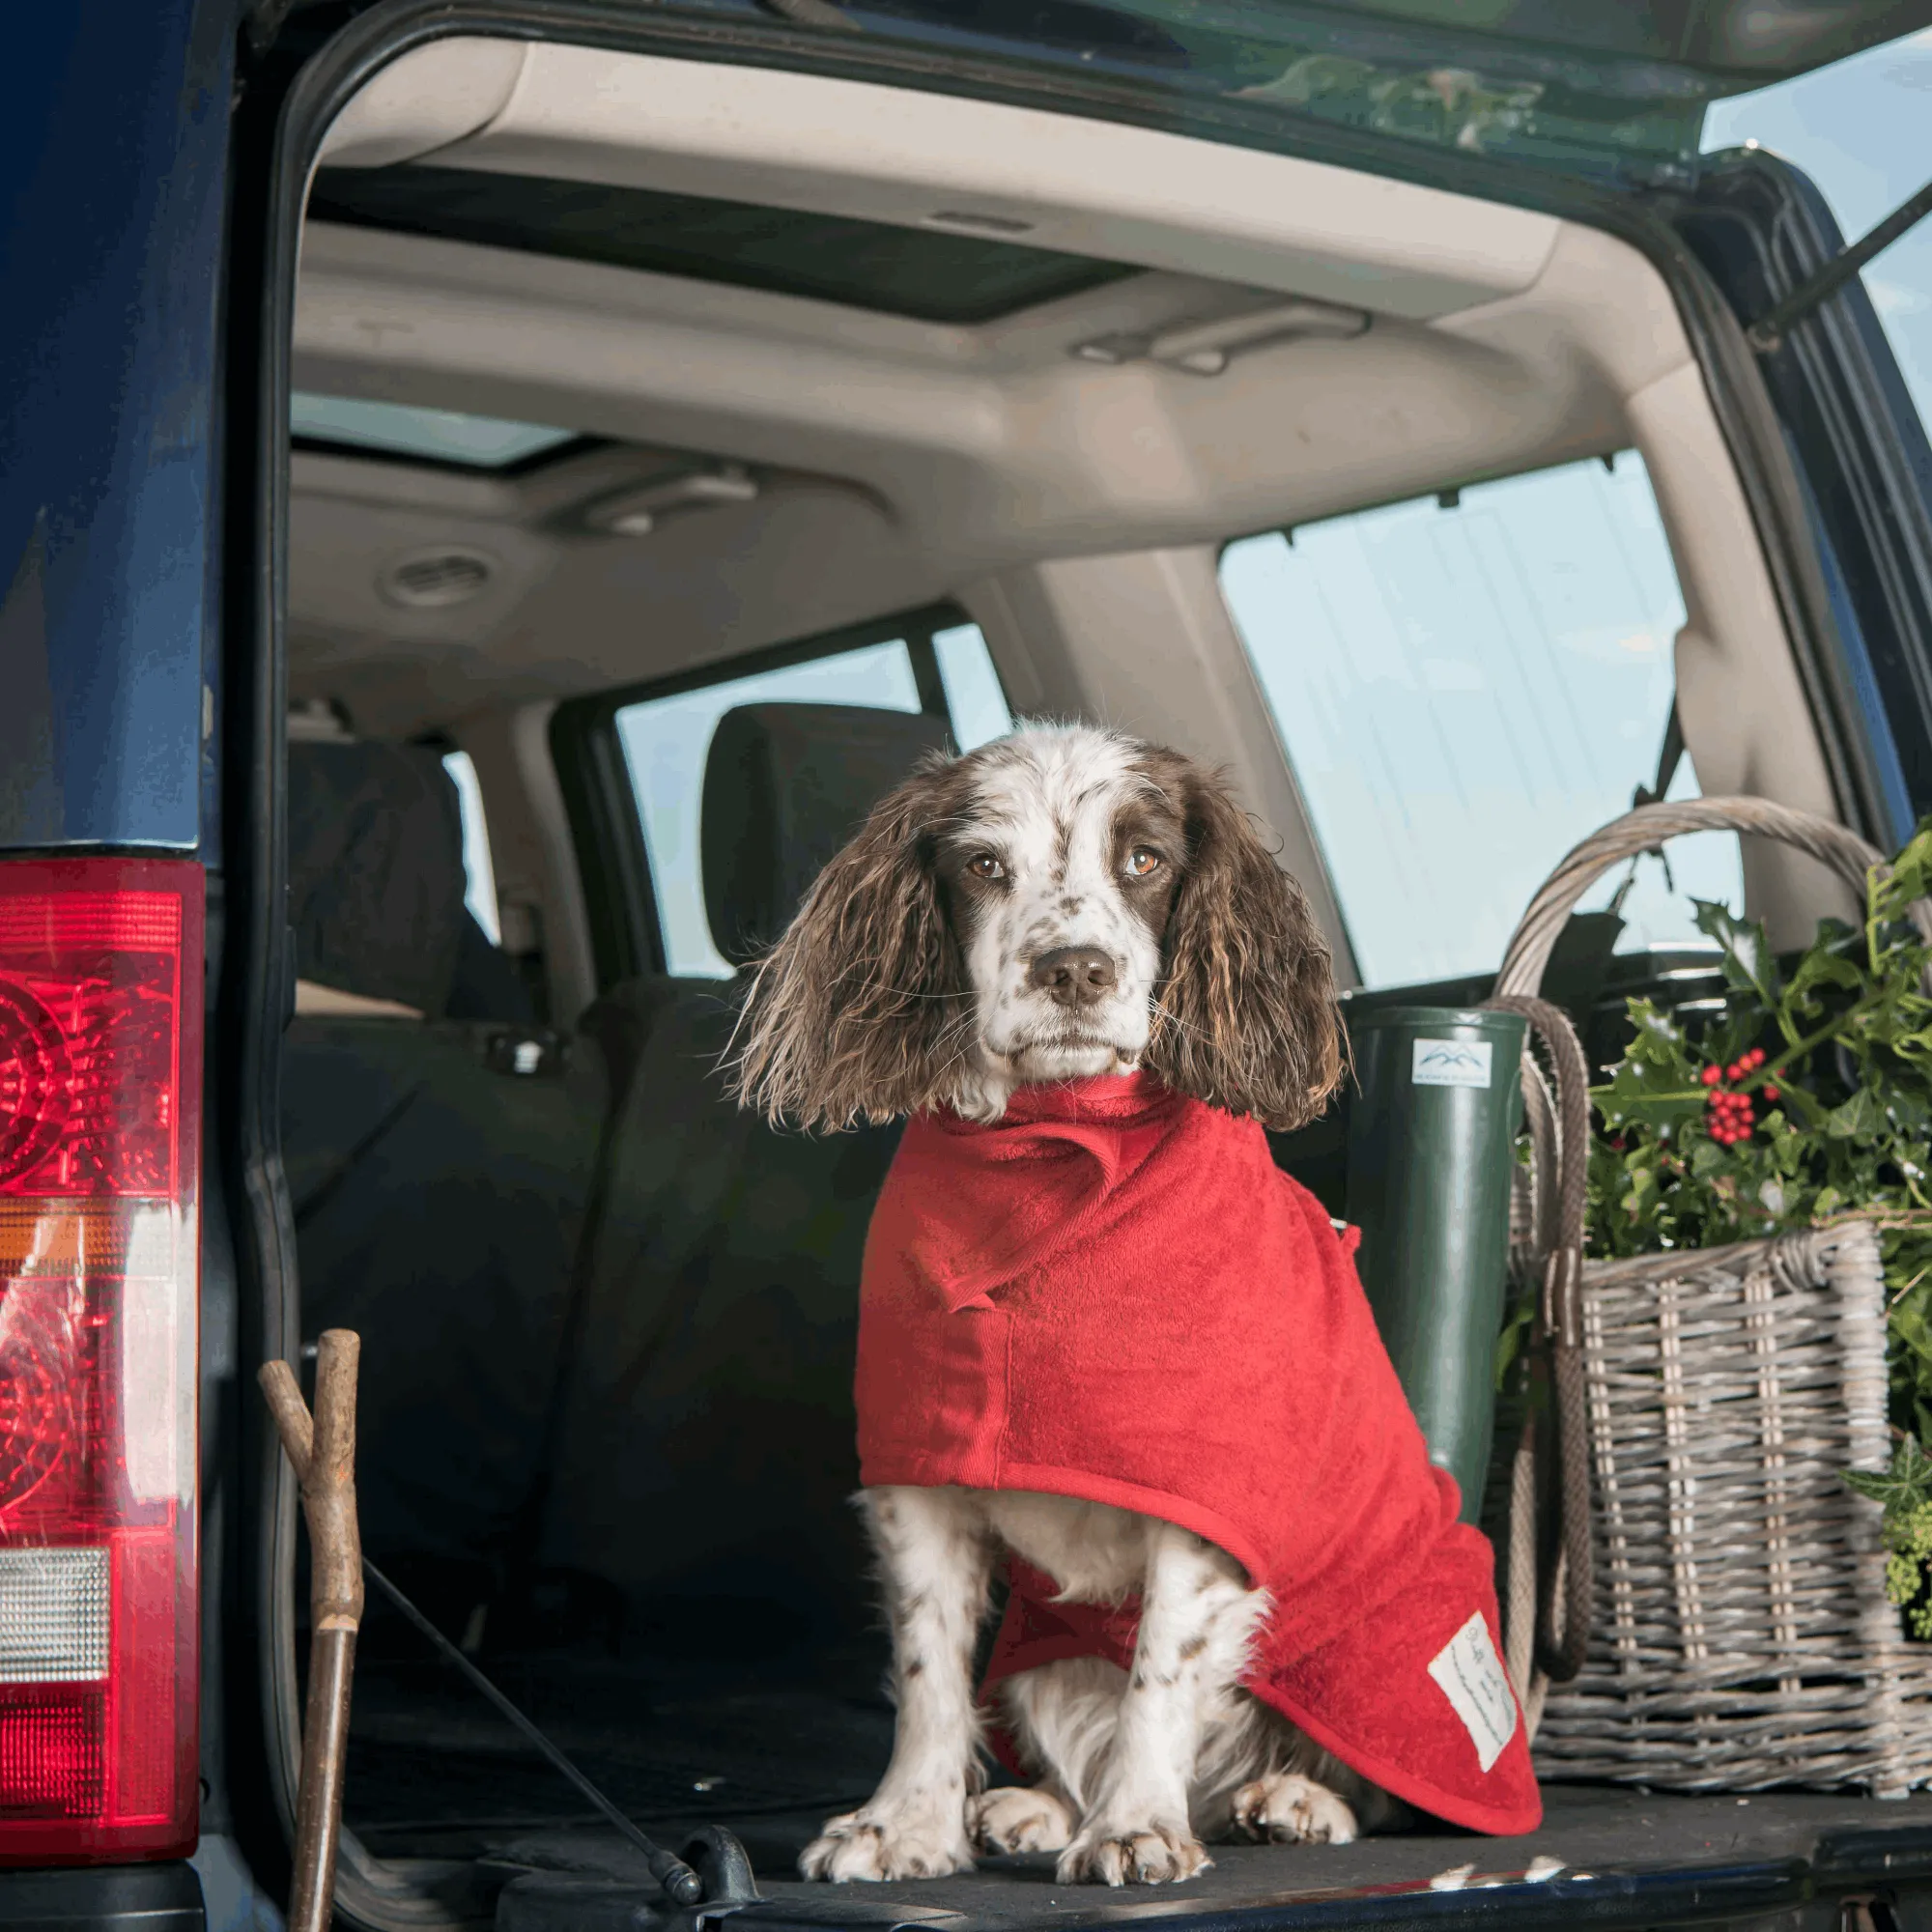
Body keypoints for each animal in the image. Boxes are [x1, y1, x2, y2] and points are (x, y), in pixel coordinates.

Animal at [726, 719, 1522, 1878]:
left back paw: (1292, 1799)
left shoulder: (1204, 1496)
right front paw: (904, 1823)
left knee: (1375, 1783)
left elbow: (1162, 1668)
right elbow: (927, 1676)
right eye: (982, 865)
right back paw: (1036, 1807)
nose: (1074, 968)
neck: (1054, 1155)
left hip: (1386, 1651)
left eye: (1144, 859)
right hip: (1043, 1656)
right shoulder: (919, 1476)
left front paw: (1137, 1826)